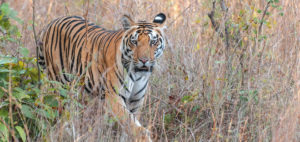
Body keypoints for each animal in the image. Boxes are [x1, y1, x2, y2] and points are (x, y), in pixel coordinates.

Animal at [37, 13, 166, 141]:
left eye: (153, 42)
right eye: (134, 42)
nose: (144, 60)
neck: (138, 74)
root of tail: (51, 22)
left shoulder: (135, 101)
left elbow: (127, 129)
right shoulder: (115, 97)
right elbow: (133, 126)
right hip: (59, 84)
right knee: (58, 113)